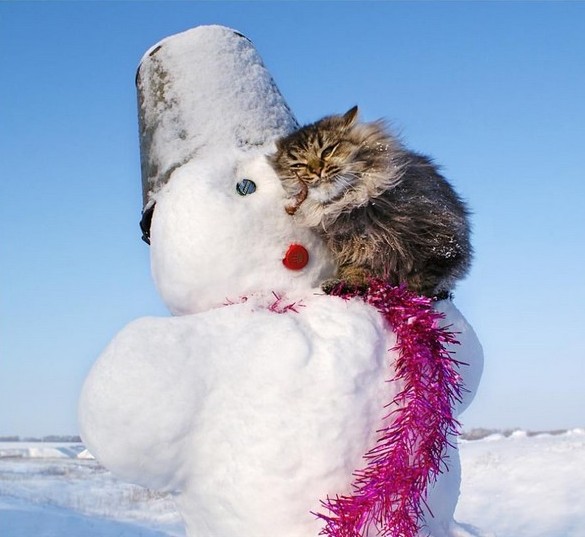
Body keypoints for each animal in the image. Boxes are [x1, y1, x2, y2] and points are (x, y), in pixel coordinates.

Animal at [266, 104, 472, 298]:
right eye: (298, 165)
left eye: (327, 151)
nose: (316, 170)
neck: (350, 204)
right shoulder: (359, 252)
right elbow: (357, 273)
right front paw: (345, 285)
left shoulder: (437, 244)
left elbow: (420, 281)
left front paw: (412, 298)